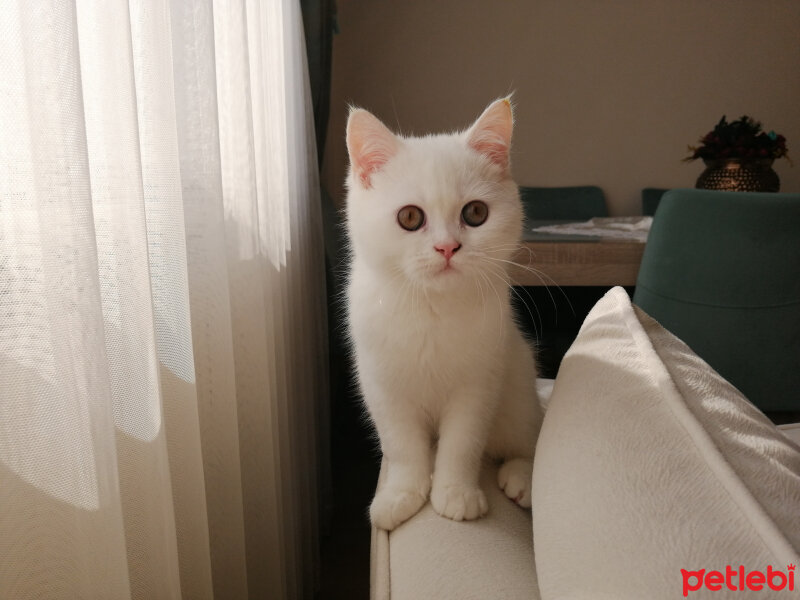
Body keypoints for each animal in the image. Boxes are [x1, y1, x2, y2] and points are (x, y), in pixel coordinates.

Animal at [344, 98, 544, 528]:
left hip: (518, 386)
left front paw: (455, 493)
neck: (430, 307)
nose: (448, 247)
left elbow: (462, 443)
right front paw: (402, 494)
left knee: (530, 438)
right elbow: (401, 444)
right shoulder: (383, 384)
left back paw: (521, 477)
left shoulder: (479, 383)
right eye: (409, 217)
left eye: (475, 213)